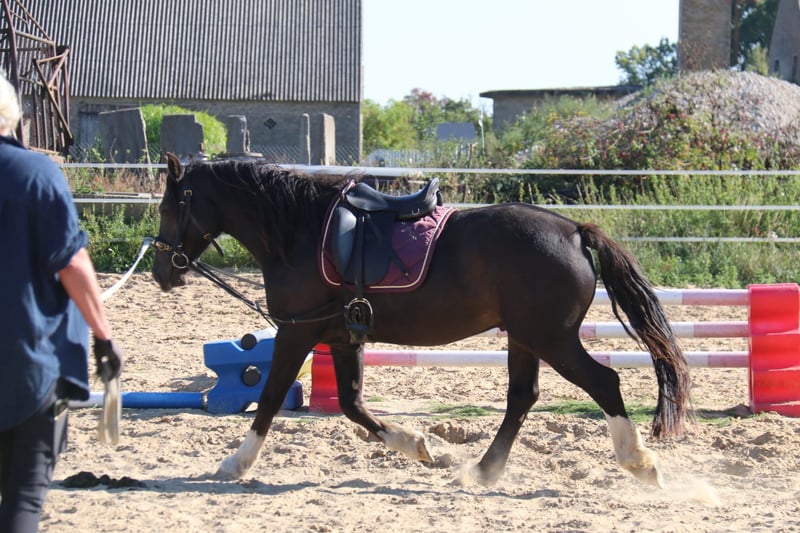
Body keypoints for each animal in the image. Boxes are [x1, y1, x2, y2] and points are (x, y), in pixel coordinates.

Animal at [152, 153, 691, 488]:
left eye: (168, 206)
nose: (161, 271)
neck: (296, 231)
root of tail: (575, 231)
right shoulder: (342, 336)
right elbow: (352, 405)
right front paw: (417, 446)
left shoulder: (296, 331)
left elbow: (267, 399)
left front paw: (235, 463)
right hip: (525, 337)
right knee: (523, 397)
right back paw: (482, 471)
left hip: (551, 338)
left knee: (603, 382)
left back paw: (640, 464)